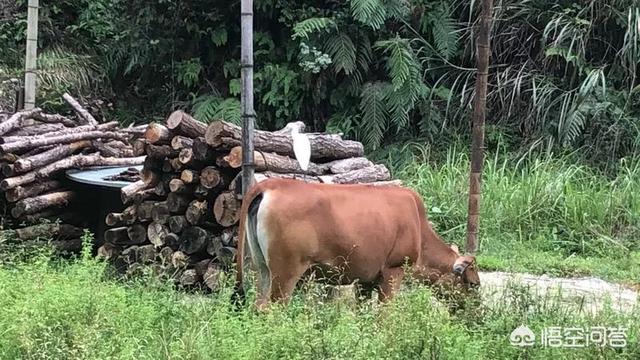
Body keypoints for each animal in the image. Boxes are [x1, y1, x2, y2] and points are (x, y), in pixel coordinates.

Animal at [232, 179, 478, 308]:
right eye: (474, 284)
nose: (478, 313)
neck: (419, 226)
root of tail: (271, 183)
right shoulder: (393, 272)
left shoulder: (364, 280)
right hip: (285, 275)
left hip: (263, 270)